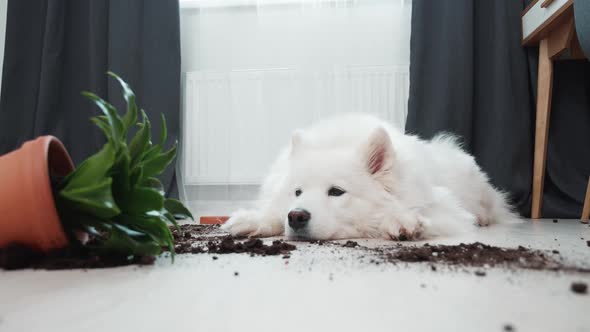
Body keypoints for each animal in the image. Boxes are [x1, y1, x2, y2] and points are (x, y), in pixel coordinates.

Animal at [222, 113, 520, 240]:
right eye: (297, 192)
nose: (296, 217)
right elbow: (272, 211)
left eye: (336, 192)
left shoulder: (447, 210)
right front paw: (254, 220)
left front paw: (401, 221)